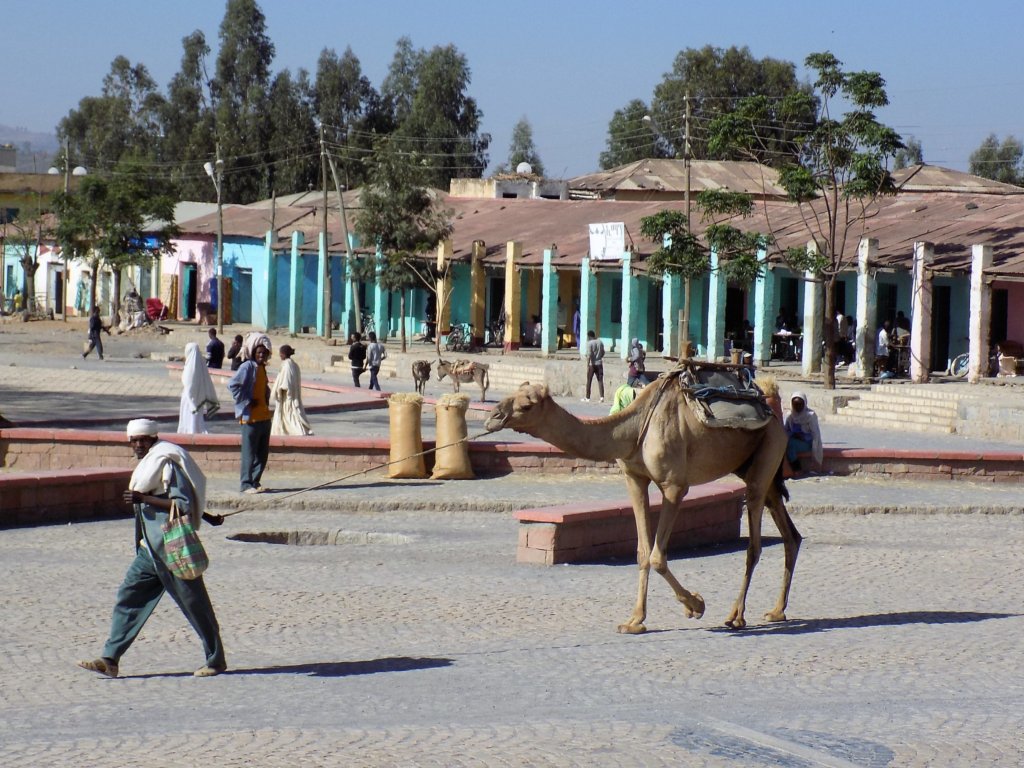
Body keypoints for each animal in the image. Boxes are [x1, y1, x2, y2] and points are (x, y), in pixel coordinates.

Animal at [483, 370, 802, 634]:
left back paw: (736, 616)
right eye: (511, 396)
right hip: (756, 467)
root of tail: (772, 413)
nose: (493, 416)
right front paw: (635, 621)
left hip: (767, 452)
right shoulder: (635, 479)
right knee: (791, 534)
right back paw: (777, 611)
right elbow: (642, 552)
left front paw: (696, 605)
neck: (634, 428)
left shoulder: (675, 486)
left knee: (754, 542)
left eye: (526, 405)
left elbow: (658, 556)